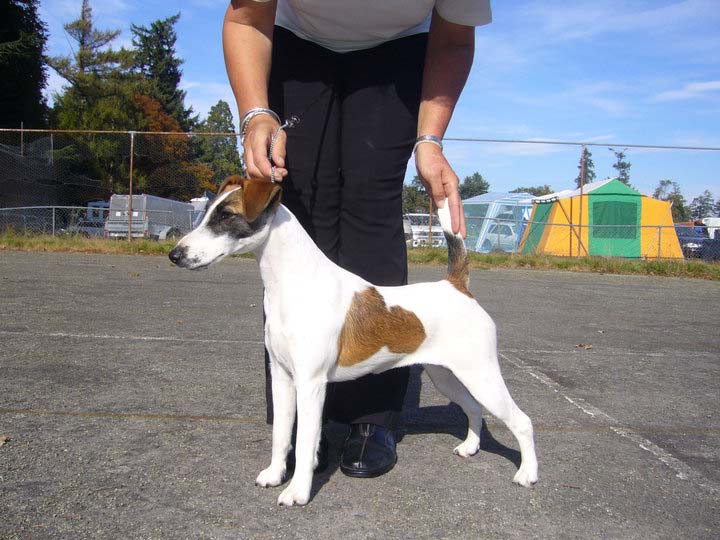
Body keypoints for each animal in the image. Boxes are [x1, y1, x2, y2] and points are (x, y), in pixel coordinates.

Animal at [169, 176, 536, 506]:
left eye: (226, 215)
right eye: (208, 213)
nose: (175, 254)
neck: (293, 284)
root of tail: (456, 286)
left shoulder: (311, 384)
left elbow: (305, 442)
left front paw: (297, 492)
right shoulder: (283, 378)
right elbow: (281, 436)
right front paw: (275, 475)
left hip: (481, 374)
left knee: (522, 421)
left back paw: (527, 474)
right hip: (446, 376)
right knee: (474, 408)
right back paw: (470, 448)